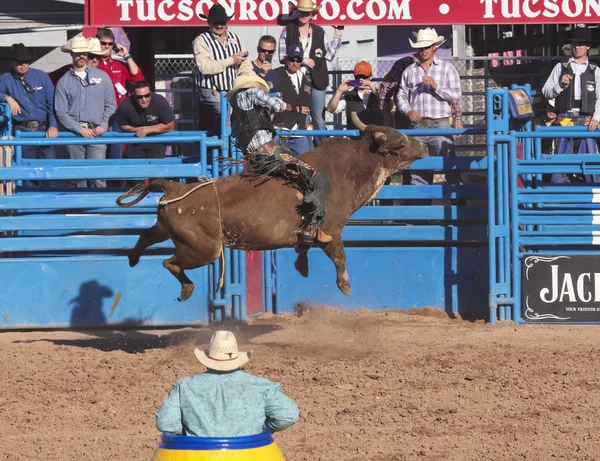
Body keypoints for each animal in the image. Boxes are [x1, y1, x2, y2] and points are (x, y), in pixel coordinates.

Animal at [116, 113, 426, 300]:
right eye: (400, 141)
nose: (423, 145)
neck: (351, 167)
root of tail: (176, 188)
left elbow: (304, 246)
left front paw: (302, 264)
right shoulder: (332, 229)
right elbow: (339, 256)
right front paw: (345, 286)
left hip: (168, 229)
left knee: (146, 235)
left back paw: (132, 258)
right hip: (203, 249)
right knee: (170, 262)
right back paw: (187, 288)